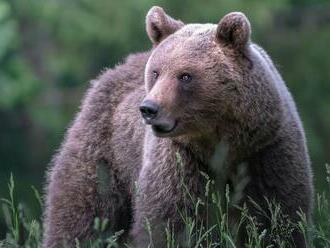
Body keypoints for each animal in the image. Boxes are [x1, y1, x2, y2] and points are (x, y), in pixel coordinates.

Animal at [42, 5, 314, 248]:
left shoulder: (266, 150)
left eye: (185, 75)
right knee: (82, 212)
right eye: (156, 72)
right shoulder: (180, 160)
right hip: (104, 152)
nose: (149, 108)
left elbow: (279, 216)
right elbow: (169, 221)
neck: (222, 141)